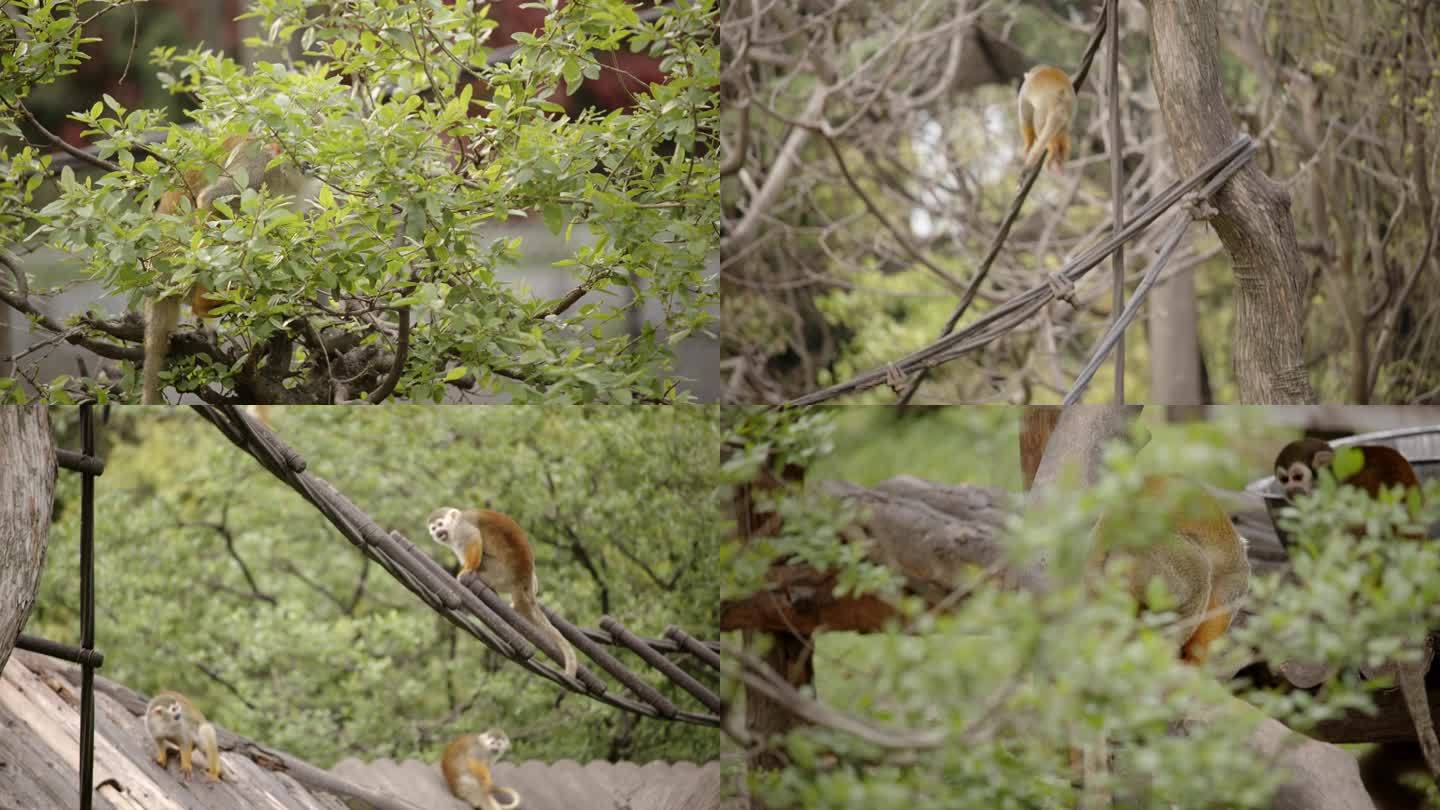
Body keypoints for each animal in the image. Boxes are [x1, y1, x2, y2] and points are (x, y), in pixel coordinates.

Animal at [141, 136, 316, 406]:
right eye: (300, 153)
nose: (311, 165)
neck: (282, 175)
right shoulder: (258, 165)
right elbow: (212, 200)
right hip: (177, 263)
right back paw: (205, 307)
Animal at [426, 504, 578, 674]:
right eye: (433, 528)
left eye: (440, 524)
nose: (437, 532)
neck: (453, 527)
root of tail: (521, 579)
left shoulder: (461, 528)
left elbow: (474, 539)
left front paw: (467, 569)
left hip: (499, 574)